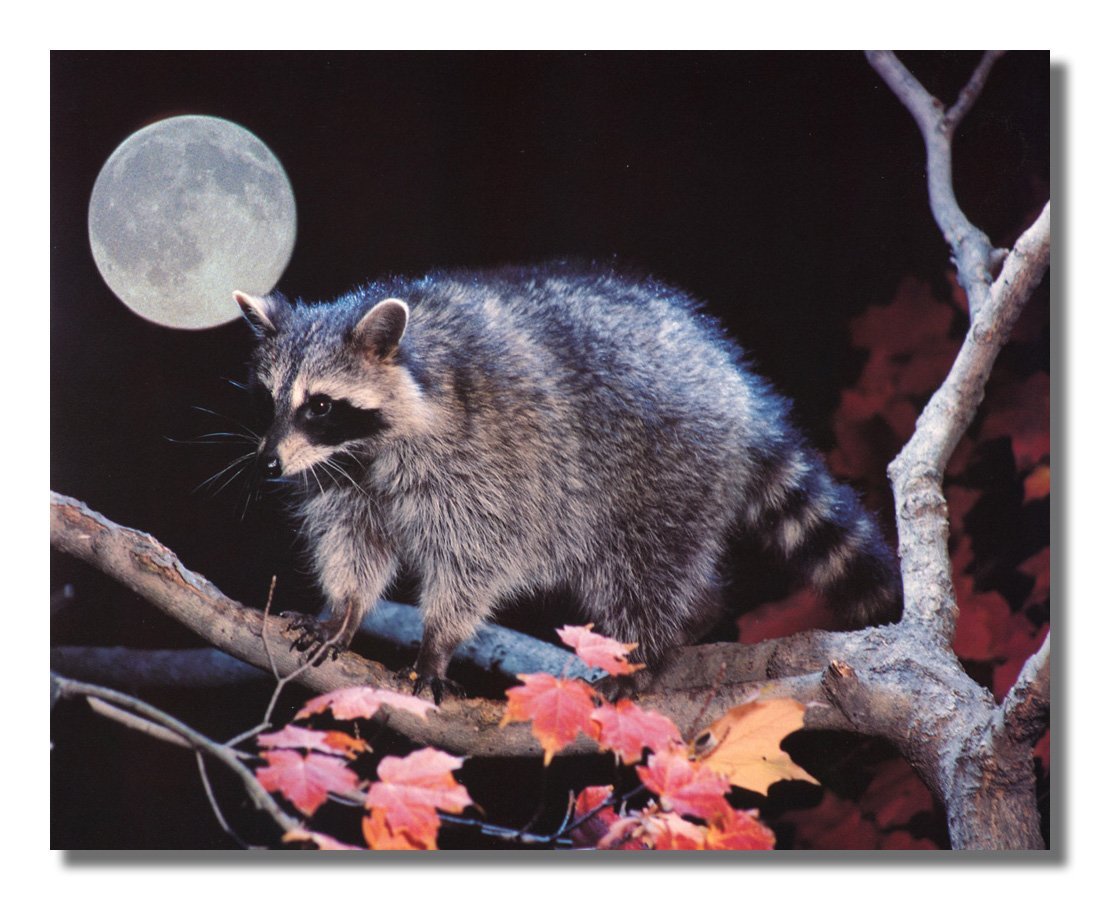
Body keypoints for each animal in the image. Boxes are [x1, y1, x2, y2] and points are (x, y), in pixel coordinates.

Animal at [235, 262, 901, 699]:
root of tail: (733, 382)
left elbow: (475, 556)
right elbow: (354, 540)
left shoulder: (485, 460)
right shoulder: (342, 478)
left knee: (644, 568)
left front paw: (438, 642)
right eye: (268, 401)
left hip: (667, 470)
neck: (366, 447)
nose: (266, 464)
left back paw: (650, 648)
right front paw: (344, 610)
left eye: (320, 405)